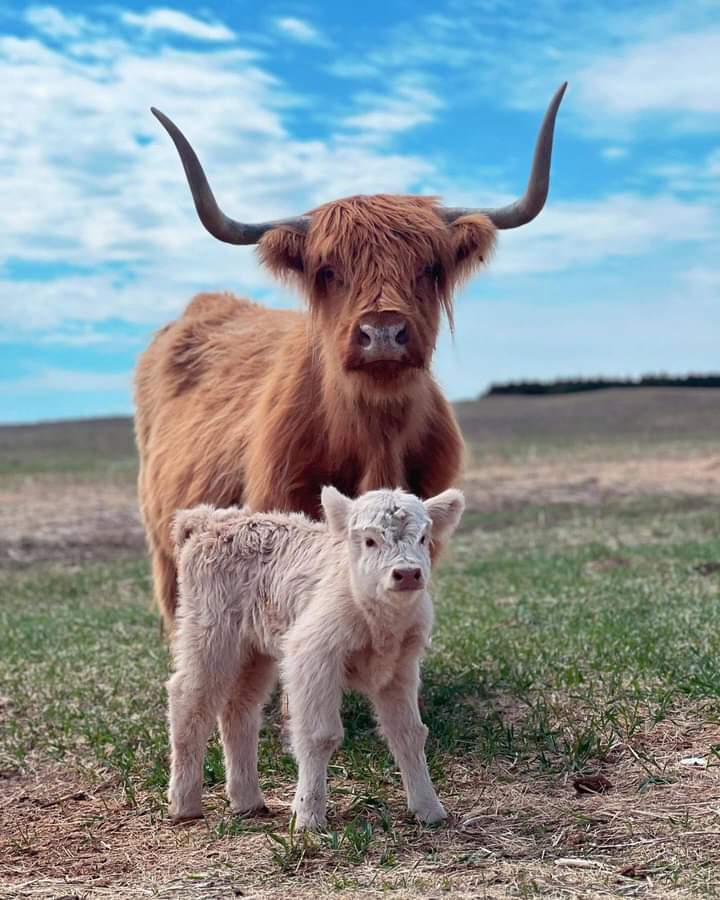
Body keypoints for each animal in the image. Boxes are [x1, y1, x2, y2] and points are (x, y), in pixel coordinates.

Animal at [166, 486, 464, 828]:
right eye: (369, 540)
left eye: (424, 538)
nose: (407, 574)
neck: (378, 621)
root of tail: (210, 520)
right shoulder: (313, 658)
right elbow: (319, 735)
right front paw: (308, 817)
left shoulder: (399, 669)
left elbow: (409, 733)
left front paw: (429, 809)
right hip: (208, 636)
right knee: (190, 701)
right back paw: (185, 804)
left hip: (255, 653)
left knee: (239, 709)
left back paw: (248, 801)